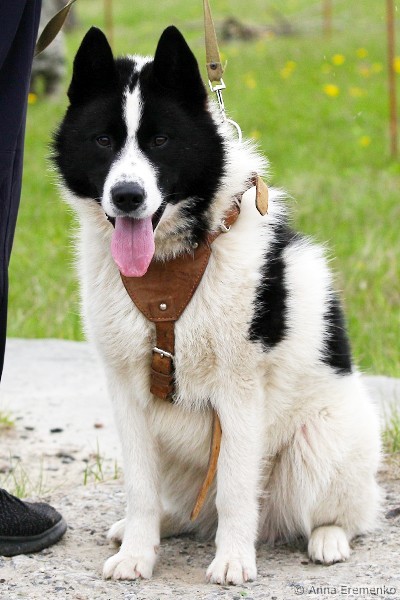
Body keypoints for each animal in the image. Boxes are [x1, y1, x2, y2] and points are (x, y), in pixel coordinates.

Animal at [52, 25, 381, 585]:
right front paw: (138, 554)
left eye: (160, 141)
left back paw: (328, 538)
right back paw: (155, 526)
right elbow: (139, 488)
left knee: (346, 511)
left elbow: (234, 489)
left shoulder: (239, 394)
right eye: (104, 141)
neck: (169, 269)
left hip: (319, 442)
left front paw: (233, 560)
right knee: (182, 508)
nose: (127, 196)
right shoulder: (127, 393)